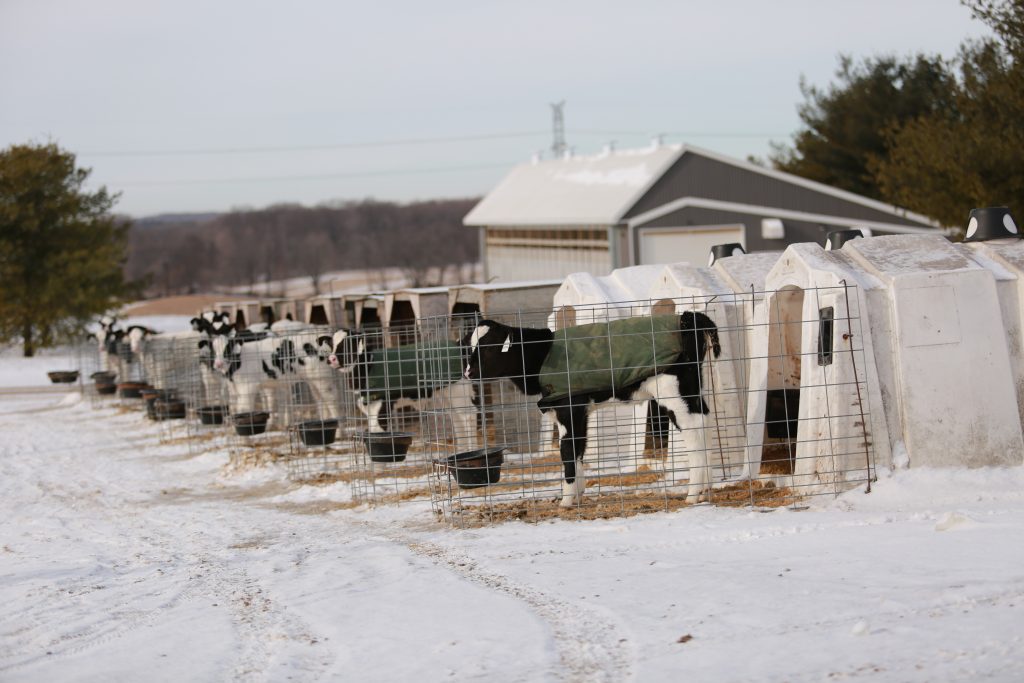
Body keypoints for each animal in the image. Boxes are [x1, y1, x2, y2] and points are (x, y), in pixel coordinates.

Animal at [464, 313, 720, 507]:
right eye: (470, 346)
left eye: (489, 347)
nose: (468, 372)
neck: (542, 354)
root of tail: (688, 316)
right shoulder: (579, 411)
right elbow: (579, 448)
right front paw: (577, 495)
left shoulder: (569, 408)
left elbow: (568, 450)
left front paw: (566, 501)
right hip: (693, 389)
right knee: (705, 422)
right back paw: (705, 488)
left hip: (673, 393)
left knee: (694, 432)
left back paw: (692, 494)